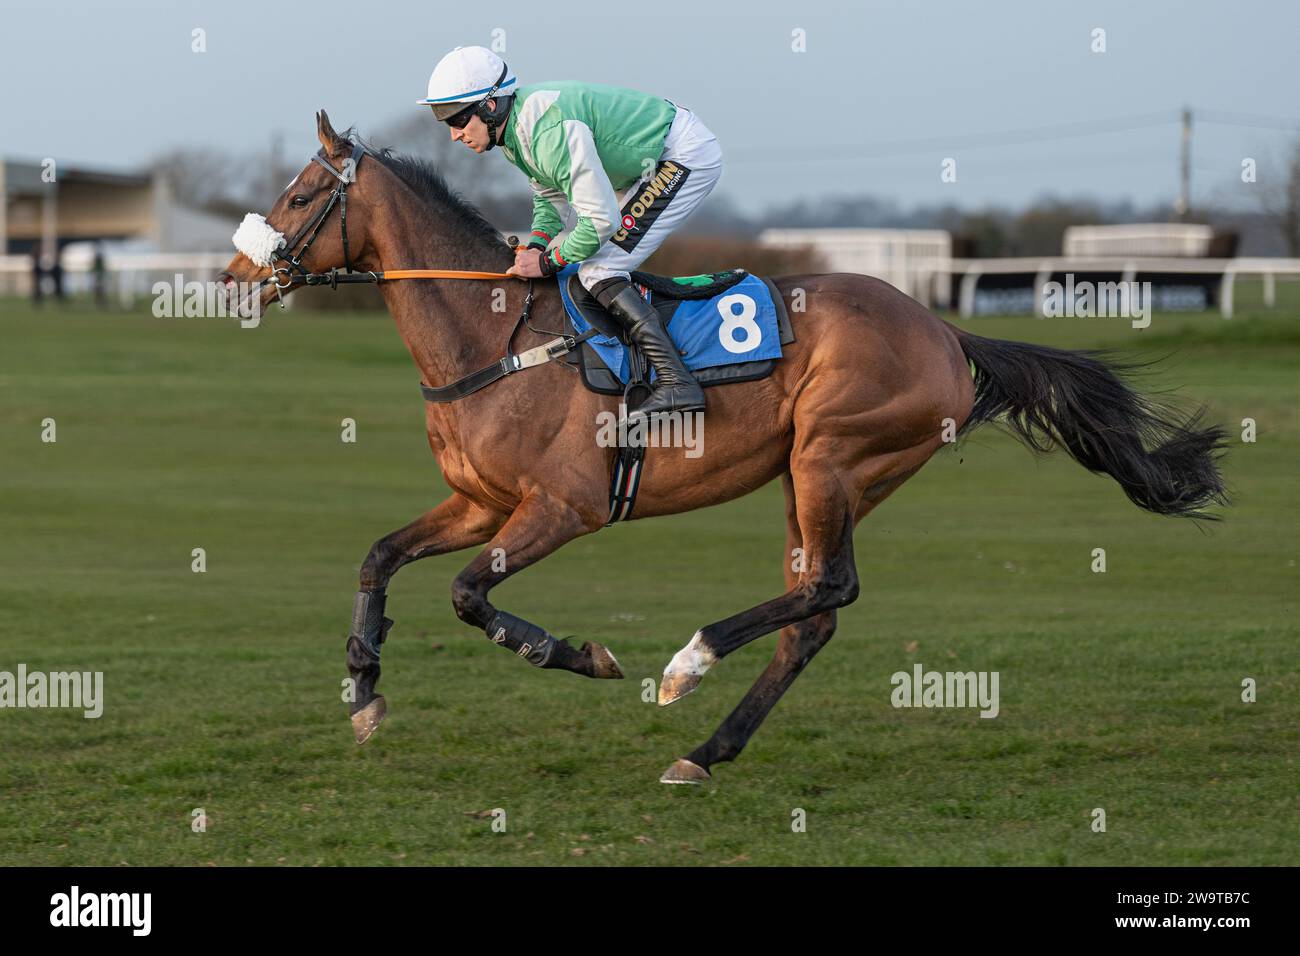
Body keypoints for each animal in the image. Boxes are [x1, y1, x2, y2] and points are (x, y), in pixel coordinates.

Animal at [218, 111, 1222, 785]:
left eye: (300, 195)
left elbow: (469, 597)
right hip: (812, 479)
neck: (494, 338)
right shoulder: (480, 503)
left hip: (834, 458)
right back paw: (706, 752)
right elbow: (378, 556)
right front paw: (363, 691)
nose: (229, 280)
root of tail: (943, 330)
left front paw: (583, 655)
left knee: (829, 588)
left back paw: (688, 666)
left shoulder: (562, 508)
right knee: (813, 613)